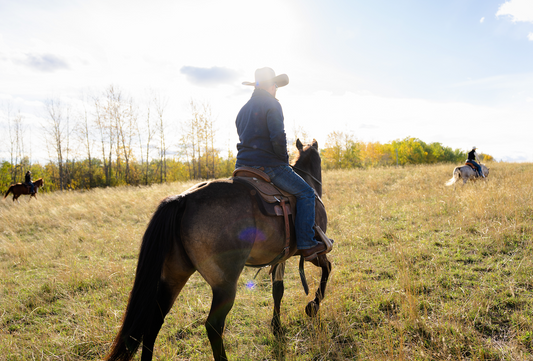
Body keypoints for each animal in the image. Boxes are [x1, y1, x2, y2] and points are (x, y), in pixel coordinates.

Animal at [105, 139, 332, 360]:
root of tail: (183, 200)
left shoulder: (281, 257)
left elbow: (278, 290)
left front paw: (276, 327)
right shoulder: (313, 251)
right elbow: (327, 268)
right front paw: (313, 305)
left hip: (173, 276)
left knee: (154, 323)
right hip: (224, 285)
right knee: (213, 326)